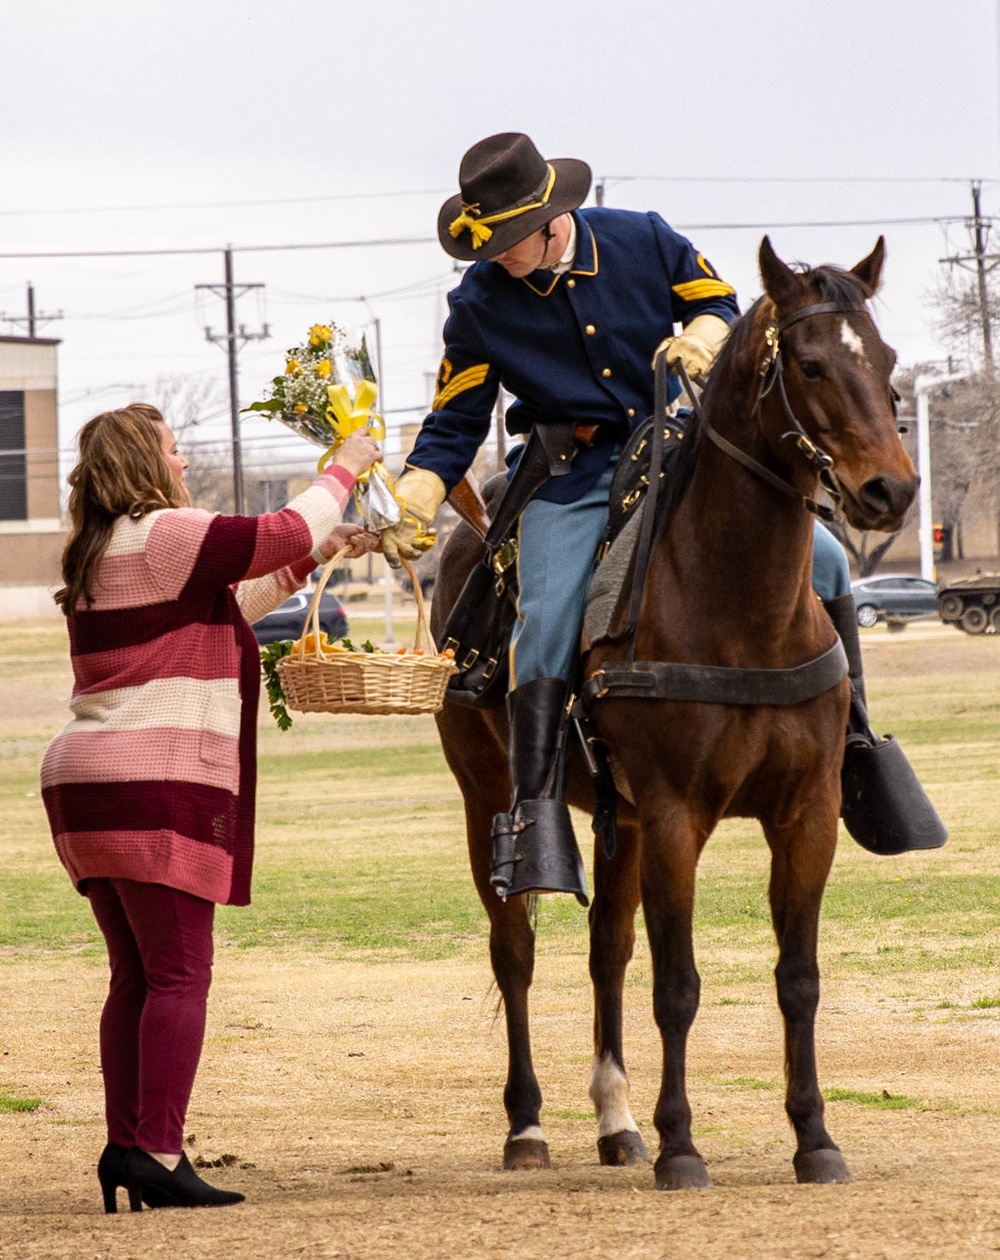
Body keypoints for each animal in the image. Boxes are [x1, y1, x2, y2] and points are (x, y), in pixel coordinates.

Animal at [428, 238, 911, 1189]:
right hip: (488, 797)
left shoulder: (806, 815)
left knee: (605, 950)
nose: (892, 492)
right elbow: (678, 984)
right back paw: (528, 1126)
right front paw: (684, 1145)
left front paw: (814, 1137)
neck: (740, 607)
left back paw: (617, 1123)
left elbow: (797, 977)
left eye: (886, 361)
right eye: (809, 364)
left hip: (621, 822)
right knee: (516, 952)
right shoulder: (677, 817)